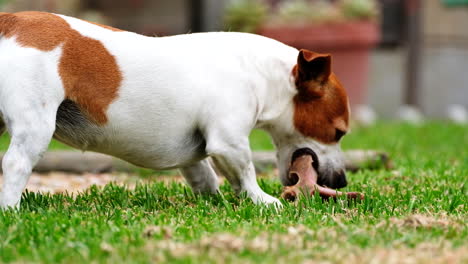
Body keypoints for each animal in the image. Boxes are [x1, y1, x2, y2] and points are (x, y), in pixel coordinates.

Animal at [0, 11, 350, 208]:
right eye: (338, 132)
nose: (343, 182)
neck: (259, 71)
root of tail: (10, 21)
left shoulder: (195, 155)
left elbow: (205, 178)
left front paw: (215, 203)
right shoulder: (229, 142)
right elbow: (245, 174)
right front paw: (264, 201)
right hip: (36, 126)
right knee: (16, 164)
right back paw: (11, 211)